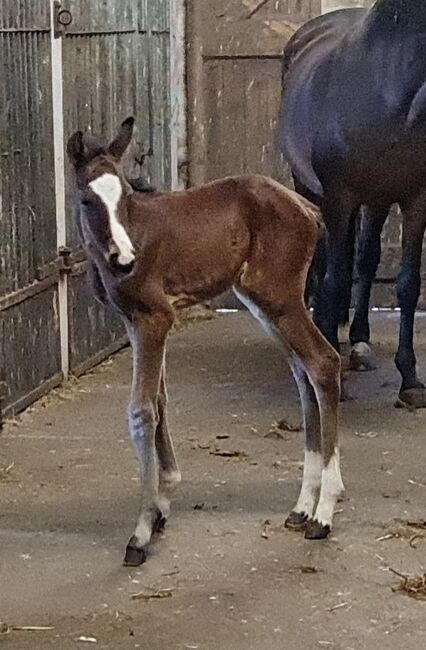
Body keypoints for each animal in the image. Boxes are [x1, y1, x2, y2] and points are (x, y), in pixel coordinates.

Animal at [67, 119, 342, 564]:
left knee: (323, 362)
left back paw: (323, 515)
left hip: (279, 297)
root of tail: (309, 209)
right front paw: (162, 506)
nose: (125, 260)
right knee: (303, 374)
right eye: (87, 199)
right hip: (263, 302)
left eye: (124, 195)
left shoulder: (155, 317)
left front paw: (141, 531)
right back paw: (302, 508)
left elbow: (141, 410)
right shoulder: (133, 322)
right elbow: (160, 400)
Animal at [278, 0, 426, 404]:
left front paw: (410, 379)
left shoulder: (415, 199)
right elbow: (334, 280)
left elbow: (408, 284)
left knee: (367, 259)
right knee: (328, 263)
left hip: (376, 201)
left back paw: (359, 342)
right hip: (311, 189)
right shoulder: (338, 197)